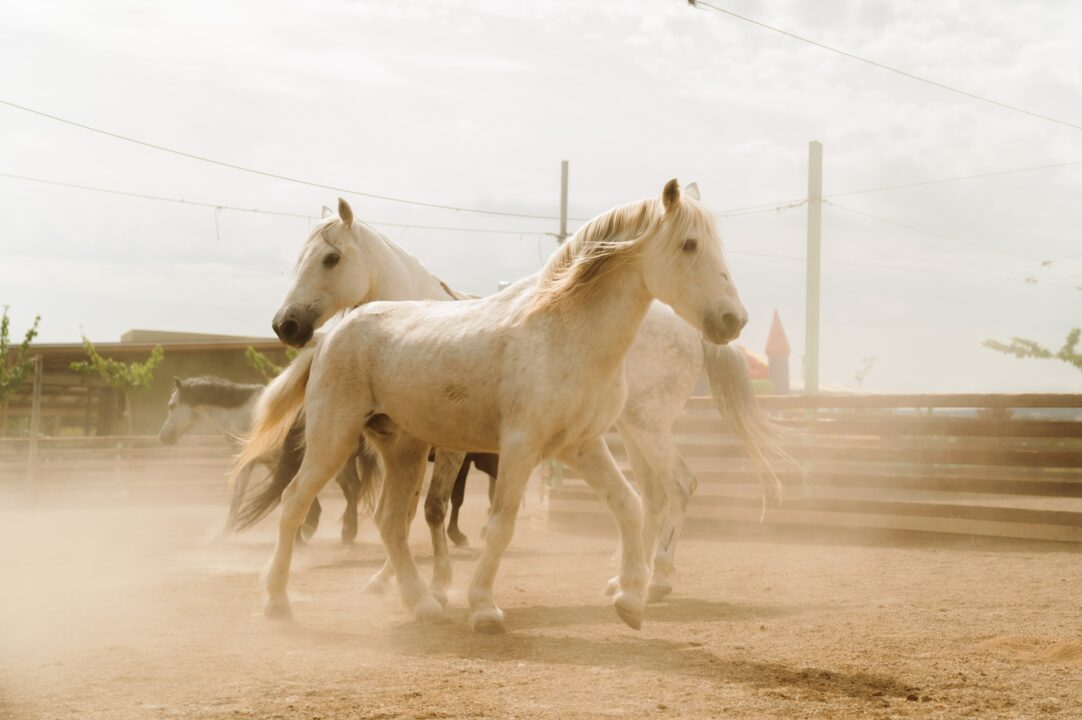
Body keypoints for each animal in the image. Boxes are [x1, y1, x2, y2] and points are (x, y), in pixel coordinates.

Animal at [234, 179, 744, 636]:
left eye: (330, 257)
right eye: (690, 244)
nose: (733, 320)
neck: (564, 331)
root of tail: (331, 335)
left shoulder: (582, 447)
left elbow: (628, 505)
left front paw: (629, 601)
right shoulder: (521, 447)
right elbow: (501, 524)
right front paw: (483, 609)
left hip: (406, 449)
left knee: (390, 522)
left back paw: (422, 604)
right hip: (333, 439)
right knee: (295, 504)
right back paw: (278, 602)